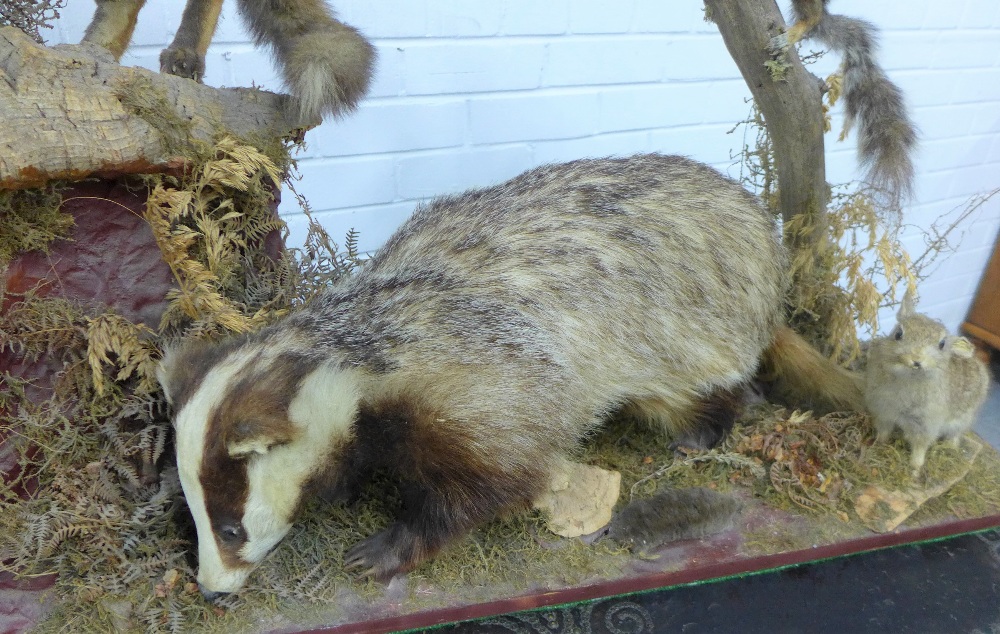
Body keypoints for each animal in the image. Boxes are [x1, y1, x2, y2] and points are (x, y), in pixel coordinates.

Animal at [864, 288, 988, 474]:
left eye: (942, 344)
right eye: (898, 334)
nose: (916, 360)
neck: (909, 378)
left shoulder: (925, 426)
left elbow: (920, 448)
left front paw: (914, 469)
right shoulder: (884, 412)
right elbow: (884, 432)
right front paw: (879, 444)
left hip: (962, 418)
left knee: (956, 434)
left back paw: (951, 447)